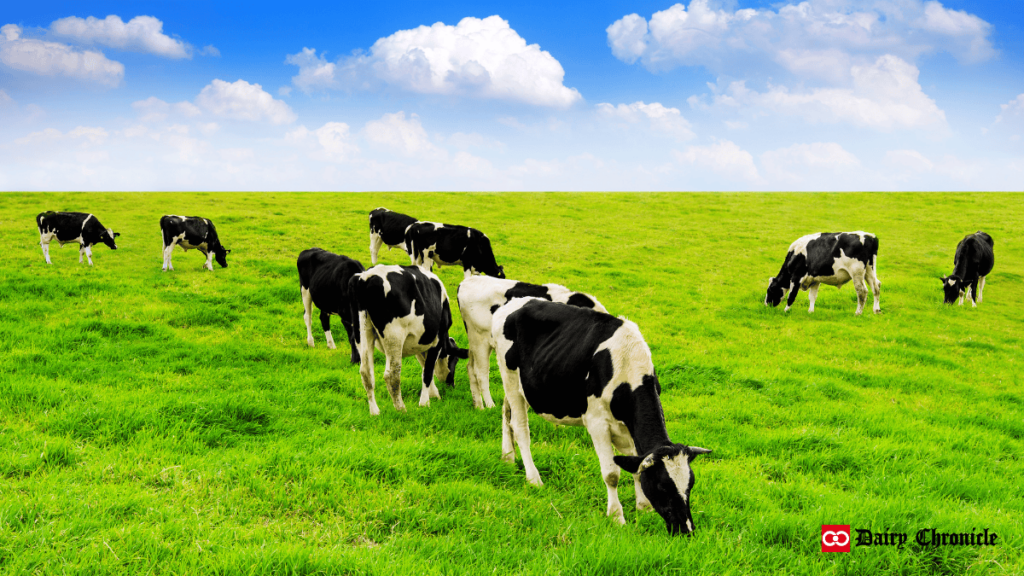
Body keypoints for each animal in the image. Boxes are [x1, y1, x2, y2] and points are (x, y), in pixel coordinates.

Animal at [348, 264, 468, 412]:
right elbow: (428, 371)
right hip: (394, 335)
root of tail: (365, 277)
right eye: (455, 360)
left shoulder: (419, 343)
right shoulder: (436, 341)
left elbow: (424, 366)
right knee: (392, 374)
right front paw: (425, 403)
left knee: (366, 372)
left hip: (362, 332)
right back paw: (401, 409)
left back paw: (375, 412)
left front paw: (434, 394)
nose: (451, 384)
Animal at [458, 272, 606, 407]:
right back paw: (490, 405)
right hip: (480, 339)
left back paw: (478, 406)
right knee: (481, 373)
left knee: (470, 368)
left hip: (475, 341)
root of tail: (466, 282)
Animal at [491, 295, 708, 532]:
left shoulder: (629, 427)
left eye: (690, 485)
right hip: (510, 376)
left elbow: (636, 465)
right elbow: (612, 474)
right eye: (662, 487)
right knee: (520, 428)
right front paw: (616, 516)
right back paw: (533, 478)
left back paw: (507, 457)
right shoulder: (597, 423)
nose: (686, 530)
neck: (627, 367)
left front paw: (643, 508)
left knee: (506, 412)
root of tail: (516, 301)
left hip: (523, 387)